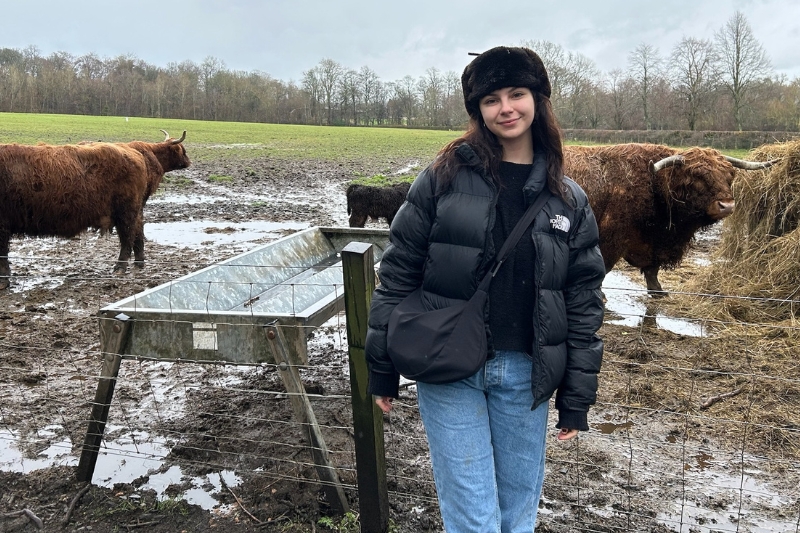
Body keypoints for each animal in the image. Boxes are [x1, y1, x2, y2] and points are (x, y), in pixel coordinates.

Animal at [0, 139, 178, 288]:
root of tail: (132, 151)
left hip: (126, 212)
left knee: (127, 237)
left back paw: (120, 267)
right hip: (133, 211)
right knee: (137, 231)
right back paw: (139, 262)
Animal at [564, 143, 776, 294]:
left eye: (730, 175)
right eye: (697, 177)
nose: (727, 205)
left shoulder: (656, 242)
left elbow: (653, 269)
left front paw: (657, 290)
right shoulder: (612, 236)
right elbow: (604, 267)